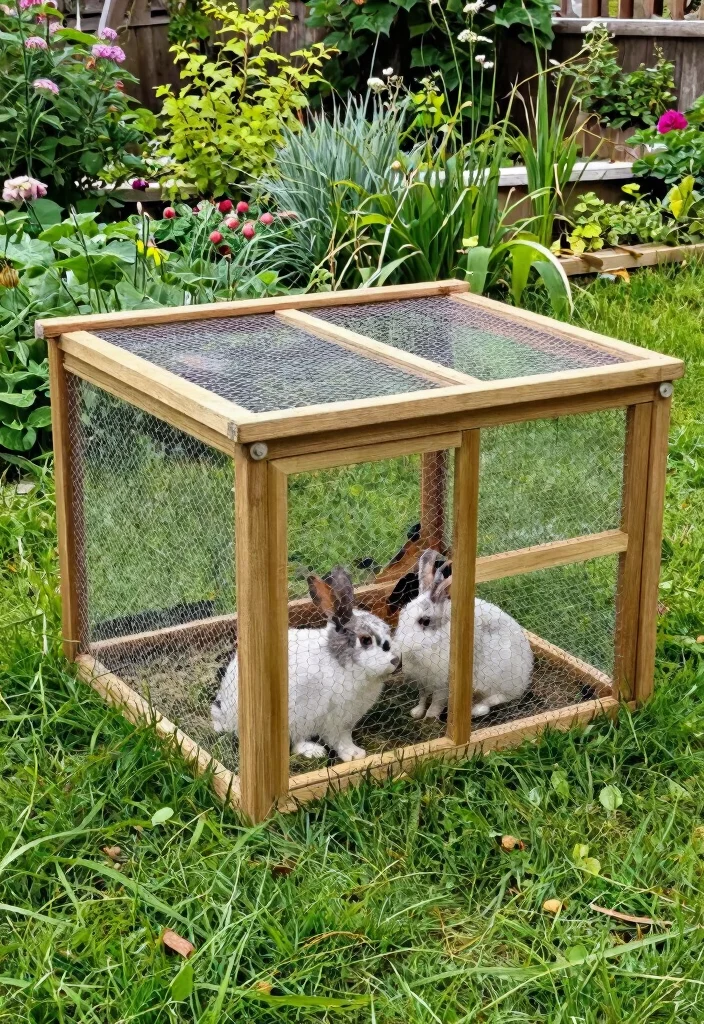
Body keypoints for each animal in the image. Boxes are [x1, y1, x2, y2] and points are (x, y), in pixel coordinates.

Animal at [211, 566, 401, 762]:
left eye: (388, 630)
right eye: (365, 640)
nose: (396, 661)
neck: (338, 662)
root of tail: (225, 713)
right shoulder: (333, 720)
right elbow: (338, 740)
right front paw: (353, 755)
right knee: (295, 742)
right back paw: (314, 751)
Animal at [396, 549, 533, 721]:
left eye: (425, 621)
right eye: (403, 612)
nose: (399, 645)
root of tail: (527, 671)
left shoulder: (443, 686)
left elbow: (435, 704)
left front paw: (429, 718)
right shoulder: (423, 681)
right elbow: (422, 697)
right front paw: (416, 713)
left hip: (496, 681)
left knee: (496, 699)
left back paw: (476, 709)